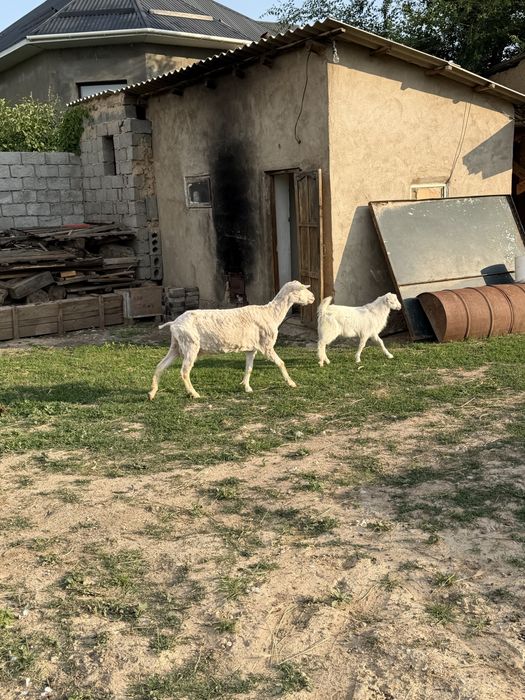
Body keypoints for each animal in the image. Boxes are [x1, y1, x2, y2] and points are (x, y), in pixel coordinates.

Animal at [148, 280, 315, 400]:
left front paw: (246, 387)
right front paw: (291, 383)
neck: (271, 314)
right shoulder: (266, 346)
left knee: (160, 366)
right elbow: (281, 363)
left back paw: (152, 393)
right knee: (184, 371)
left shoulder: (251, 349)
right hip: (190, 345)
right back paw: (194, 394)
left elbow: (249, 368)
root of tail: (174, 323)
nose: (313, 297)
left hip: (176, 346)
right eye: (302, 289)